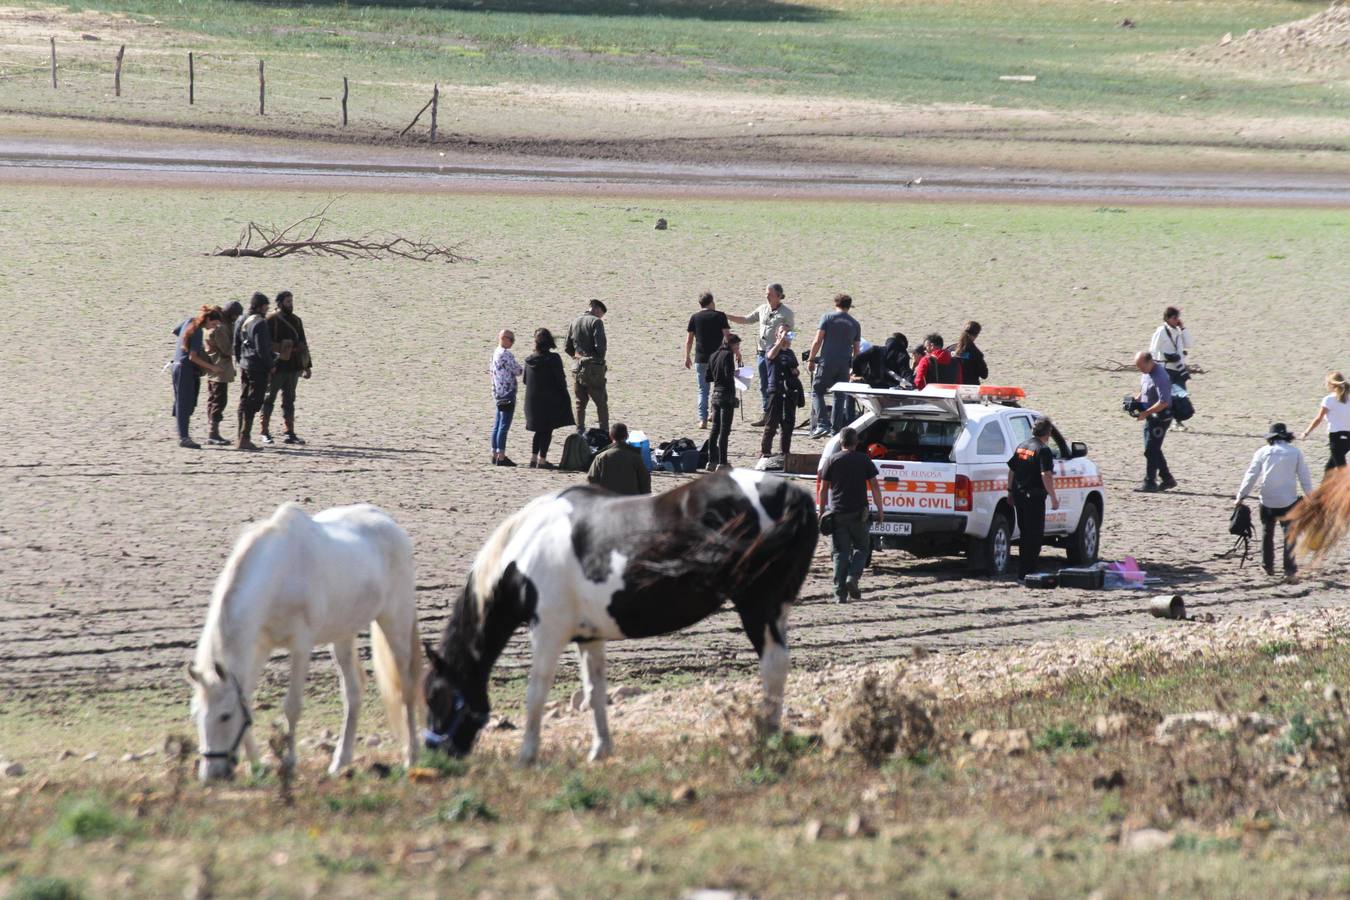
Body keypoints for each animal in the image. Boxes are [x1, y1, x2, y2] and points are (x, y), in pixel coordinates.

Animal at [189, 499, 421, 782]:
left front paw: (289, 762)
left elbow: (292, 705)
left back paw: (411, 757)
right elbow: (248, 701)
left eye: (225, 716)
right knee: (352, 693)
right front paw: (257, 765)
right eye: (196, 715)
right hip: (342, 635)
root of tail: (391, 524)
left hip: (395, 622)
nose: (210, 774)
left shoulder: (301, 645)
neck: (279, 575)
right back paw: (340, 761)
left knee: (406, 688)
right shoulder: (259, 646)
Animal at [421, 469, 815, 766]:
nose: (434, 756)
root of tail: (790, 491)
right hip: (778, 609)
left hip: (757, 607)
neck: (524, 549)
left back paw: (767, 737)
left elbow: (536, 692)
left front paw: (526, 756)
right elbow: (595, 692)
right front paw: (600, 750)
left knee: (773, 666)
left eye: (435, 696)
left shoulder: (547, 631)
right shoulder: (589, 637)